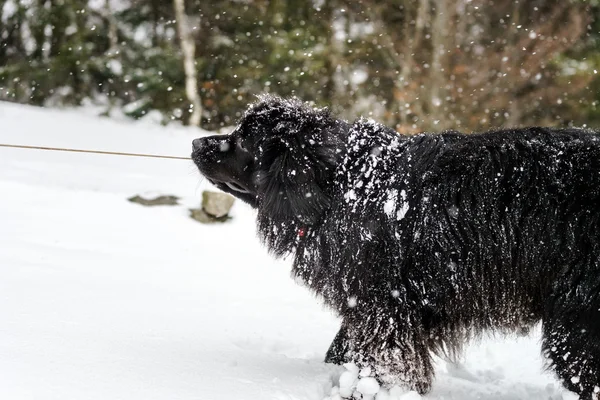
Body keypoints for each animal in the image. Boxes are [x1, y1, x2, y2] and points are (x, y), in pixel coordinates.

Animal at [191, 95, 600, 398]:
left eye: (243, 139)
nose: (196, 142)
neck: (342, 187)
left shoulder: (384, 304)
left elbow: (380, 358)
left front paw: (369, 390)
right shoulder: (373, 304)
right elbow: (344, 347)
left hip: (576, 322)